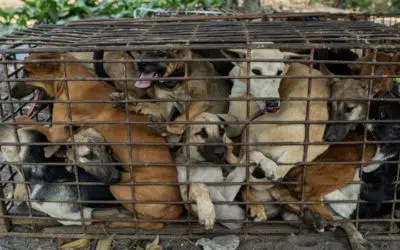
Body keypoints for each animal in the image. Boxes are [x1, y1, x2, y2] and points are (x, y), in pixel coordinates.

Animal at [10, 51, 183, 230]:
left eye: (26, 73)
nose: (10, 94)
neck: (69, 81)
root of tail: (177, 210)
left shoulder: (55, 134)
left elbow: (28, 121)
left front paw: (15, 119)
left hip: (118, 188)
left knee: (151, 223)